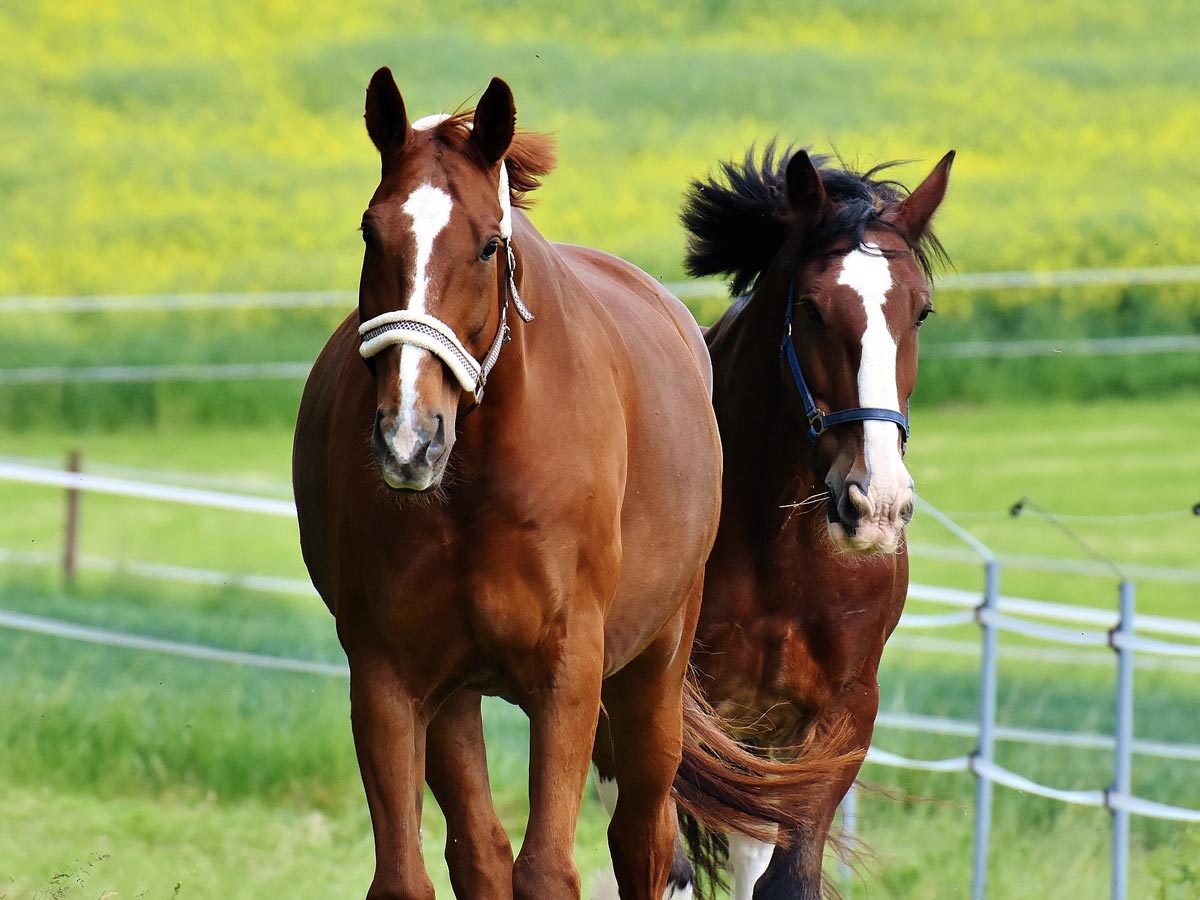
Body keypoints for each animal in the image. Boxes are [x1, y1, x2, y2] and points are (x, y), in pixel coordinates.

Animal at [295, 70, 864, 900]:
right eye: (372, 234)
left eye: (488, 244)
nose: (409, 438)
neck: (478, 484)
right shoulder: (387, 678)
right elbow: (410, 873)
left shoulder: (569, 677)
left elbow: (549, 870)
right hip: (458, 699)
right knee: (480, 850)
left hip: (653, 675)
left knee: (643, 838)